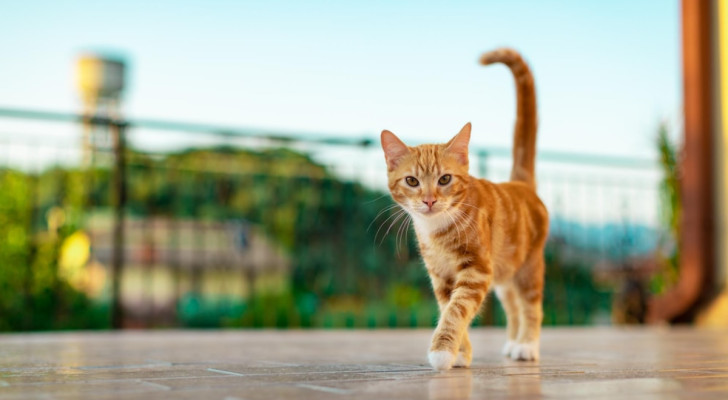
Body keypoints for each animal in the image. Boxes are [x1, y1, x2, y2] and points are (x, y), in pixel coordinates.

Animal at [382, 48, 544, 370]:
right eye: (412, 181)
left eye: (444, 179)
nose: (429, 200)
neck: (438, 231)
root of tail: (521, 184)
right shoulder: (441, 276)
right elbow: (449, 307)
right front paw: (460, 352)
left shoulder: (477, 270)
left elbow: (458, 310)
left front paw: (443, 351)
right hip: (504, 271)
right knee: (513, 305)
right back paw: (513, 342)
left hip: (528, 266)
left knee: (531, 305)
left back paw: (526, 345)